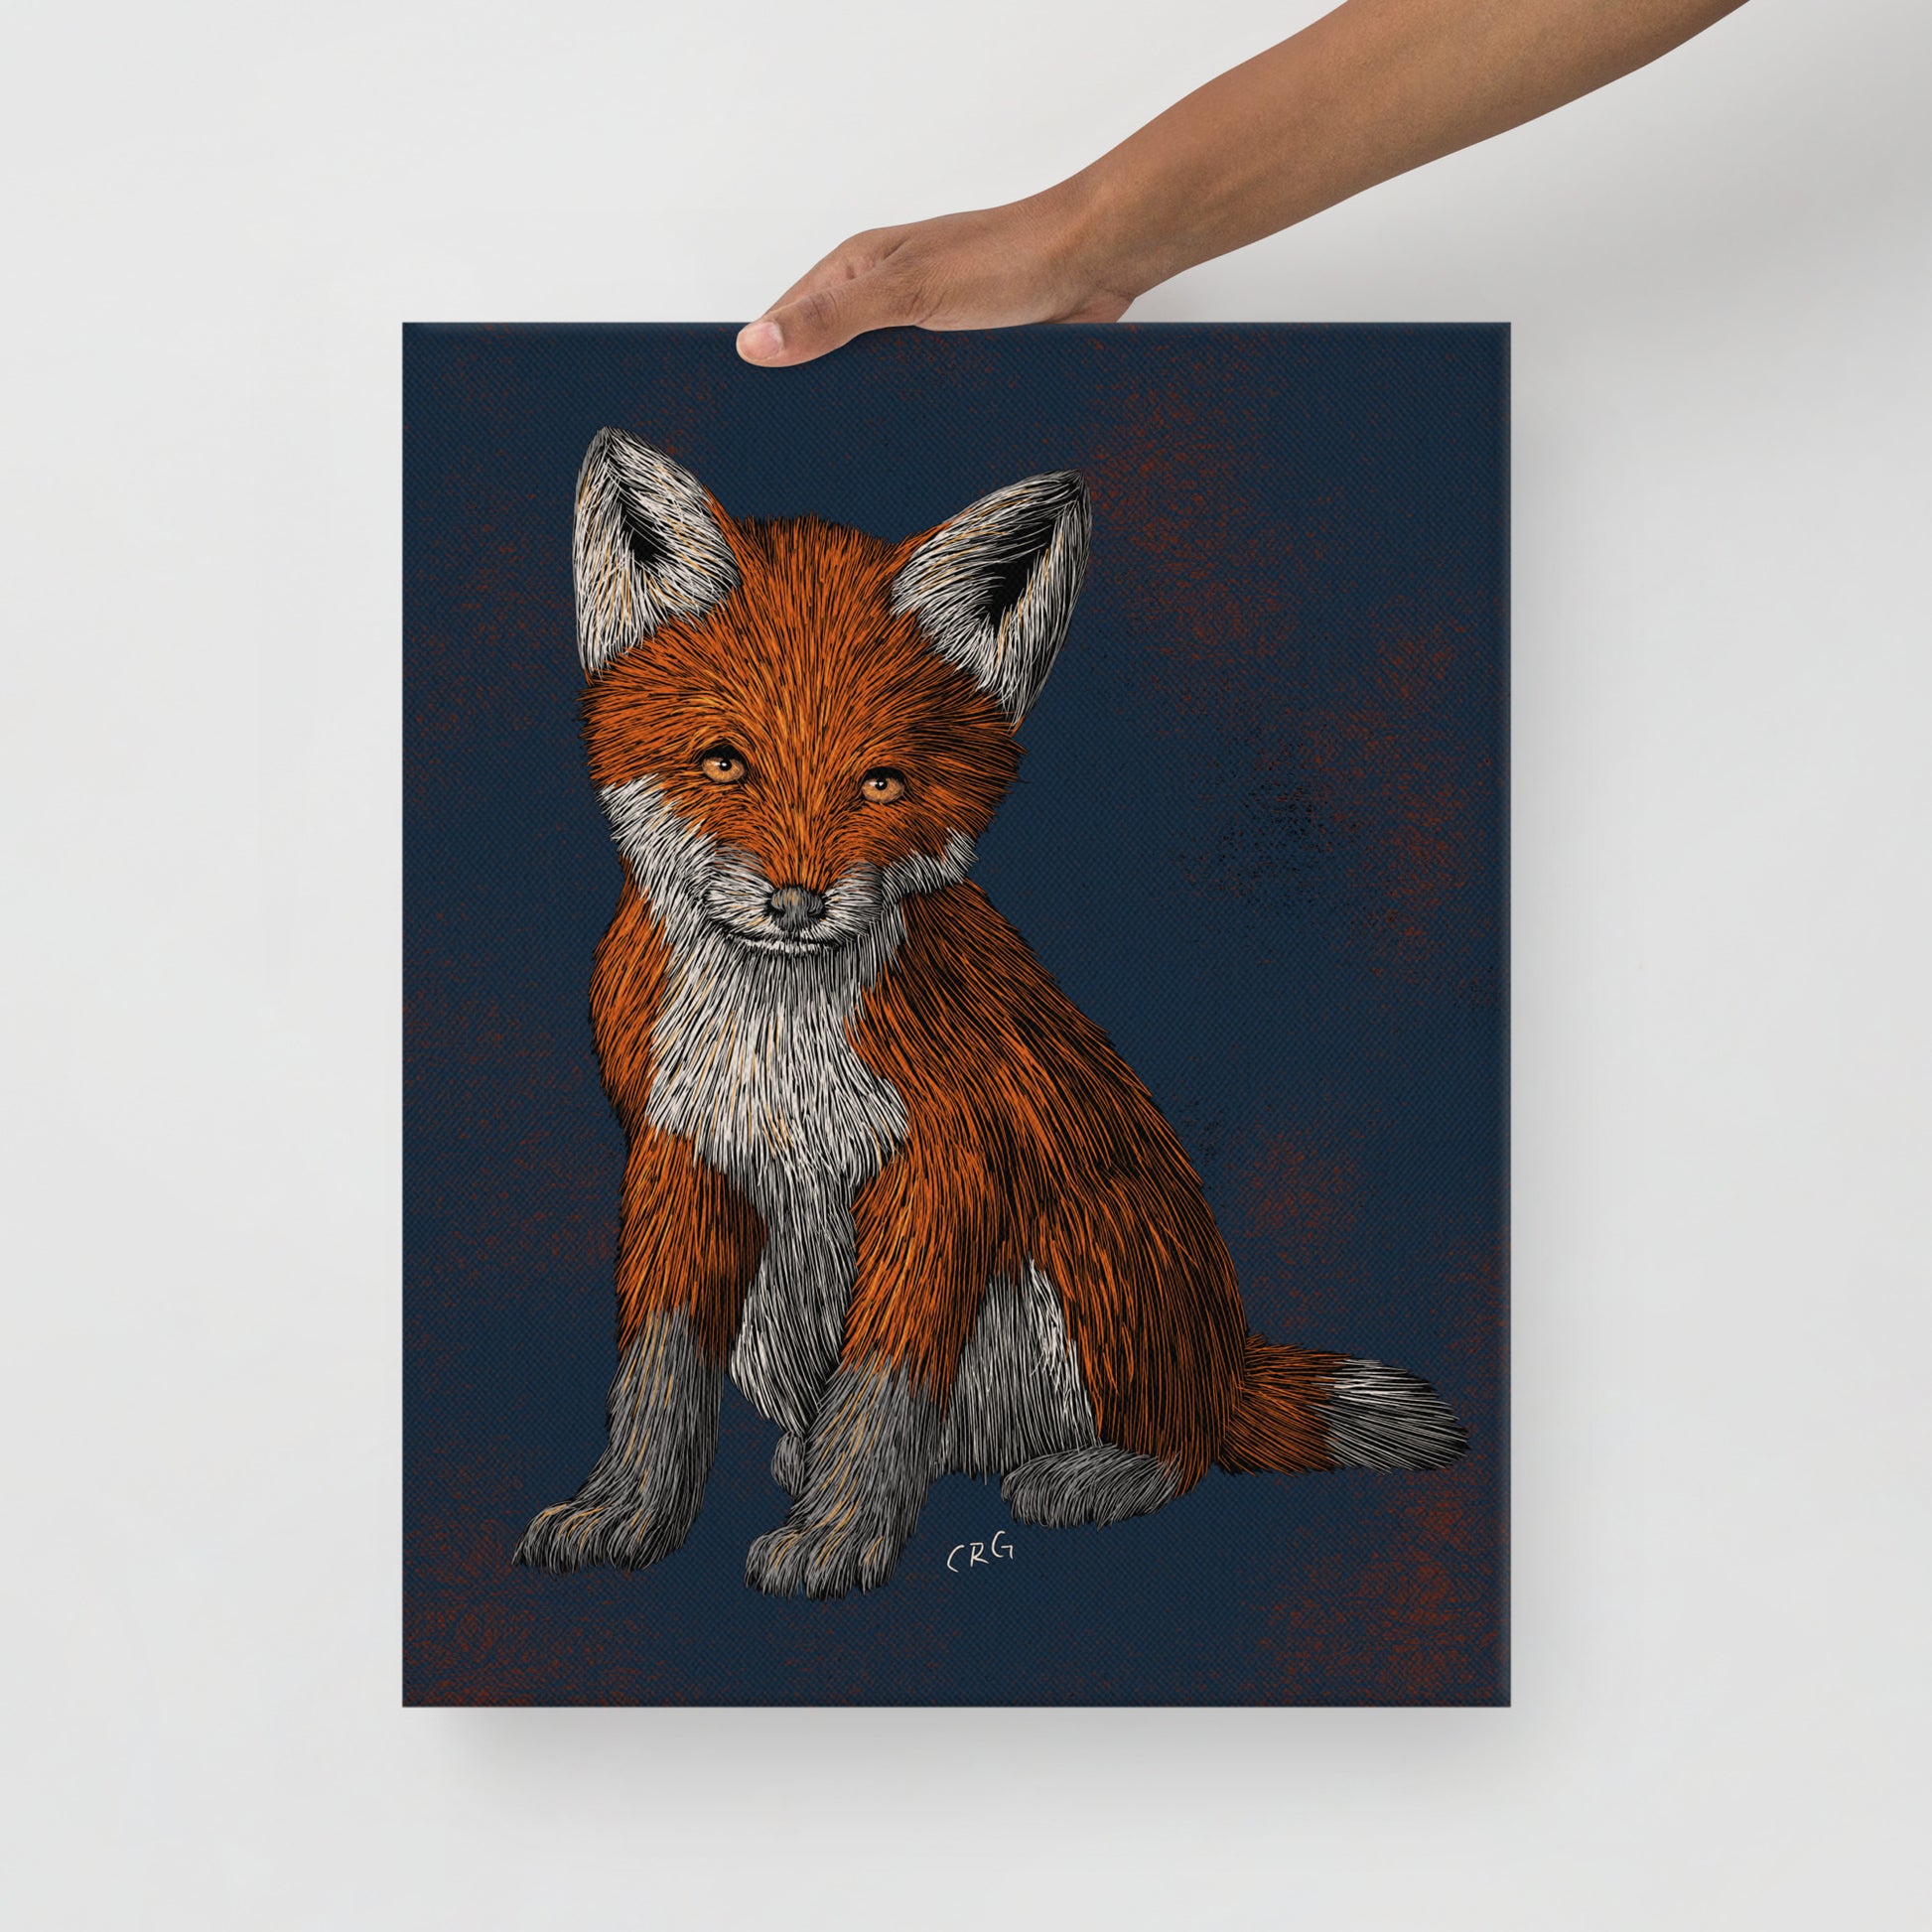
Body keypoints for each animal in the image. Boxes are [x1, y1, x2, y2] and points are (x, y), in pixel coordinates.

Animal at [512, 426, 1468, 1600]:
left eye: (881, 783)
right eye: (724, 762)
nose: (796, 902)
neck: (776, 1043)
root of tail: (1224, 1356)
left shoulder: (949, 1164)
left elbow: (882, 1386)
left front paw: (839, 1535)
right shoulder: (677, 1149)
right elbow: (656, 1372)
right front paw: (627, 1511)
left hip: (1095, 1256)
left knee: (1181, 1446)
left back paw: (1094, 1471)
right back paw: (808, 1454)